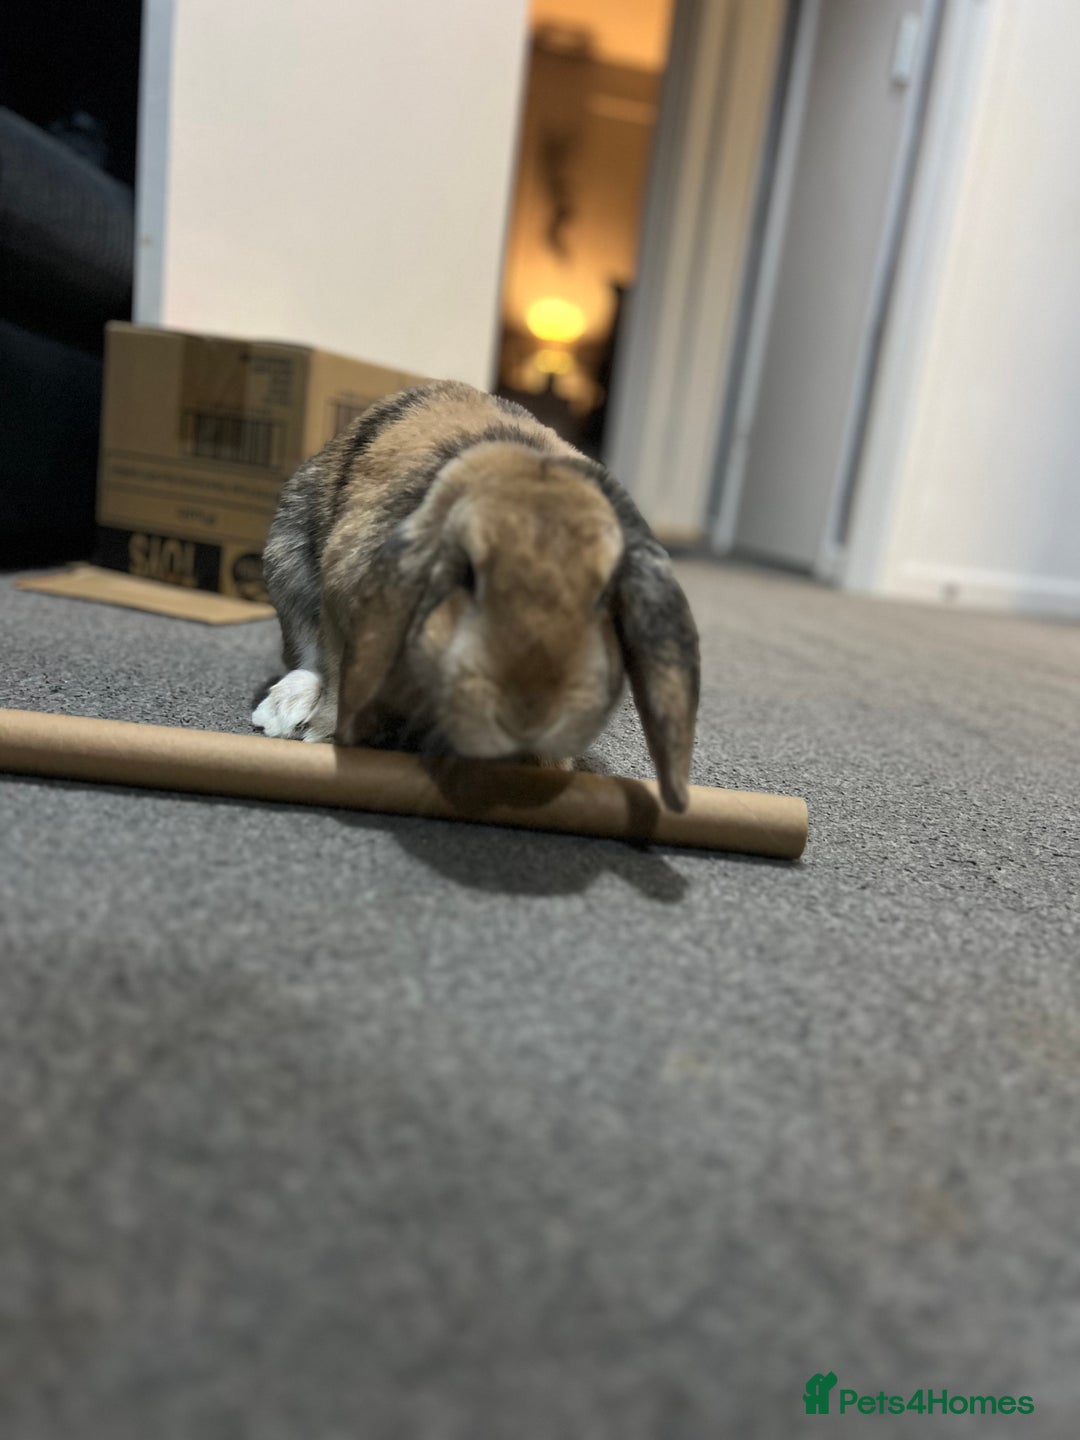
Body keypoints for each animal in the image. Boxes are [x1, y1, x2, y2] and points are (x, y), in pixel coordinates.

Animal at [252, 380, 699, 809]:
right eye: (469, 579)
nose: (531, 713)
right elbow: (340, 673)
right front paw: (328, 737)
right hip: (286, 561)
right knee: (306, 655)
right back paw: (283, 711)